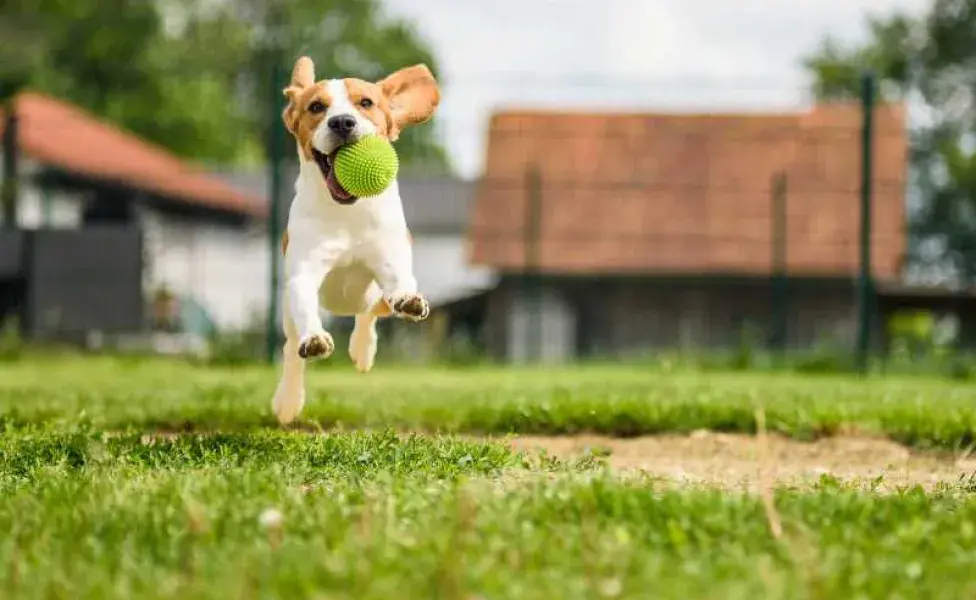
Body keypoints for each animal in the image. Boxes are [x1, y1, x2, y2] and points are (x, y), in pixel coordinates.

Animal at [266, 55, 434, 422]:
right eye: (316, 106)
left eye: (366, 103)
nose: (342, 122)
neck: (348, 212)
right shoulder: (303, 274)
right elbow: (305, 309)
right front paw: (315, 339)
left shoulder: (389, 258)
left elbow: (399, 281)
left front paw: (409, 300)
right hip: (287, 314)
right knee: (290, 347)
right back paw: (288, 401)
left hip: (375, 299)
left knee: (370, 313)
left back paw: (362, 350)